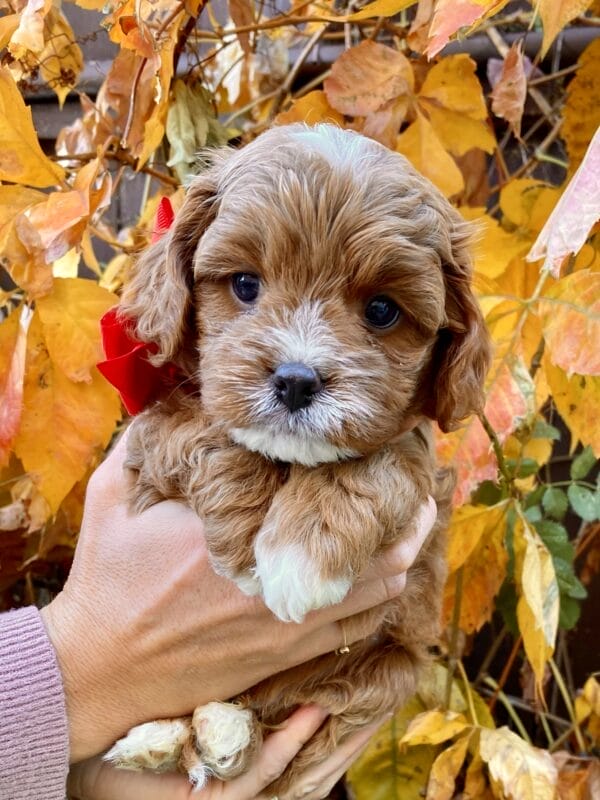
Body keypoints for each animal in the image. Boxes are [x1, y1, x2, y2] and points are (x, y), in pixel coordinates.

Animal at [103, 125, 490, 792]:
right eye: (245, 285)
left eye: (382, 310)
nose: (296, 380)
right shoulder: (152, 434)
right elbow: (207, 431)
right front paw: (245, 541)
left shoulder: (416, 466)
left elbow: (381, 463)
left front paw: (299, 553)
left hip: (391, 670)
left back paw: (220, 732)